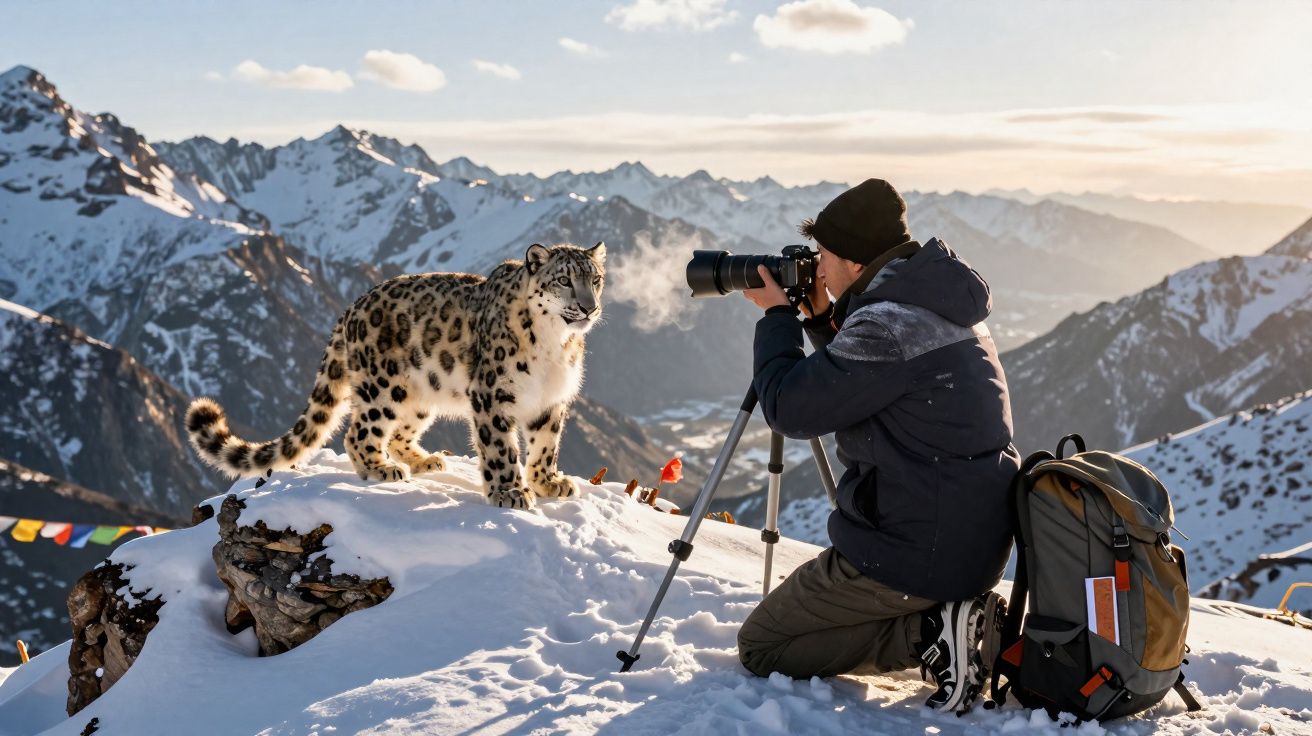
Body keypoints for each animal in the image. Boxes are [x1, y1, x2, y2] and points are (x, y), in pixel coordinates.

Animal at [185, 242, 606, 509]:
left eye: (595, 279)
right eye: (564, 280)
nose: (589, 307)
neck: (555, 343)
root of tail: (351, 307)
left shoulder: (551, 400)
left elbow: (546, 445)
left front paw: (548, 482)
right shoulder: (492, 395)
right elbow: (502, 447)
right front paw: (509, 492)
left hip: (419, 396)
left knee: (399, 433)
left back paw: (424, 461)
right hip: (382, 387)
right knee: (358, 432)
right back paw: (381, 469)